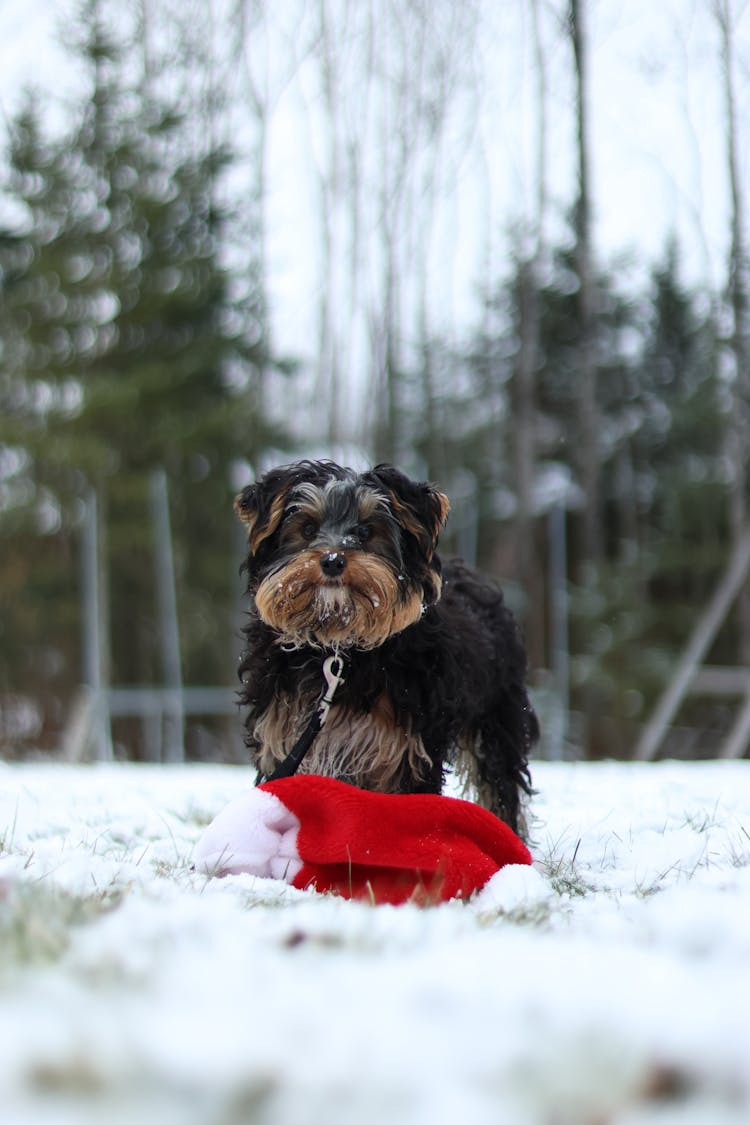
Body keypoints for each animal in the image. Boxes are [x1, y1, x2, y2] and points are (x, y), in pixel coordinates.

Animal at [237, 456, 537, 837]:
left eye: (367, 532)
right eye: (307, 529)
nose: (333, 559)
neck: (339, 646)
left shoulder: (407, 752)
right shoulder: (286, 739)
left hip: (497, 721)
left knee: (499, 785)